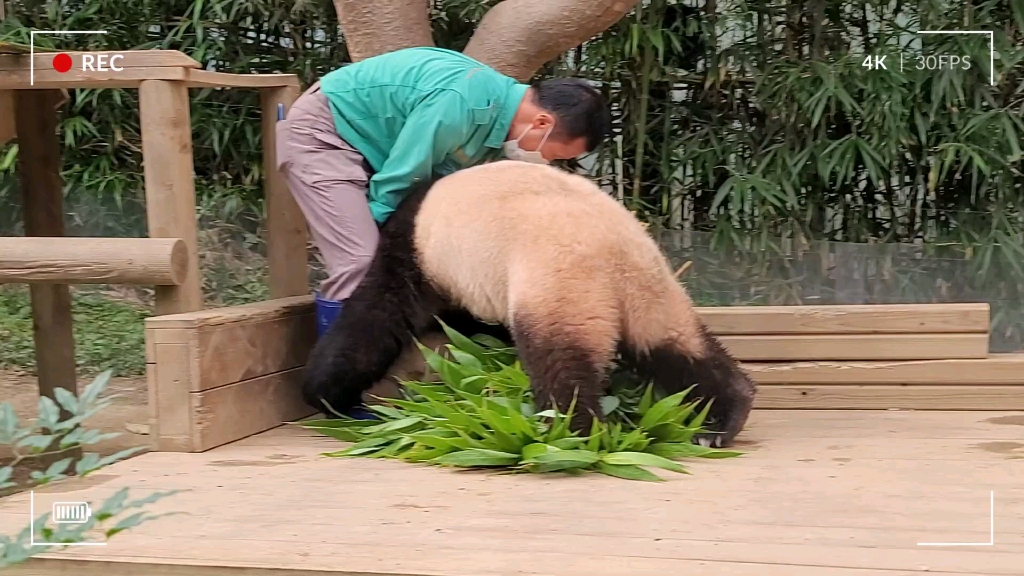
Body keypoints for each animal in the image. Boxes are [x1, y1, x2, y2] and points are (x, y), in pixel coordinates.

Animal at [299, 158, 757, 446]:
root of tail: (616, 260)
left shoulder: (419, 257)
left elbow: (374, 323)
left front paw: (328, 394)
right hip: (654, 296)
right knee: (680, 353)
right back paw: (723, 419)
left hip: (559, 284)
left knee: (561, 363)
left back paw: (569, 432)